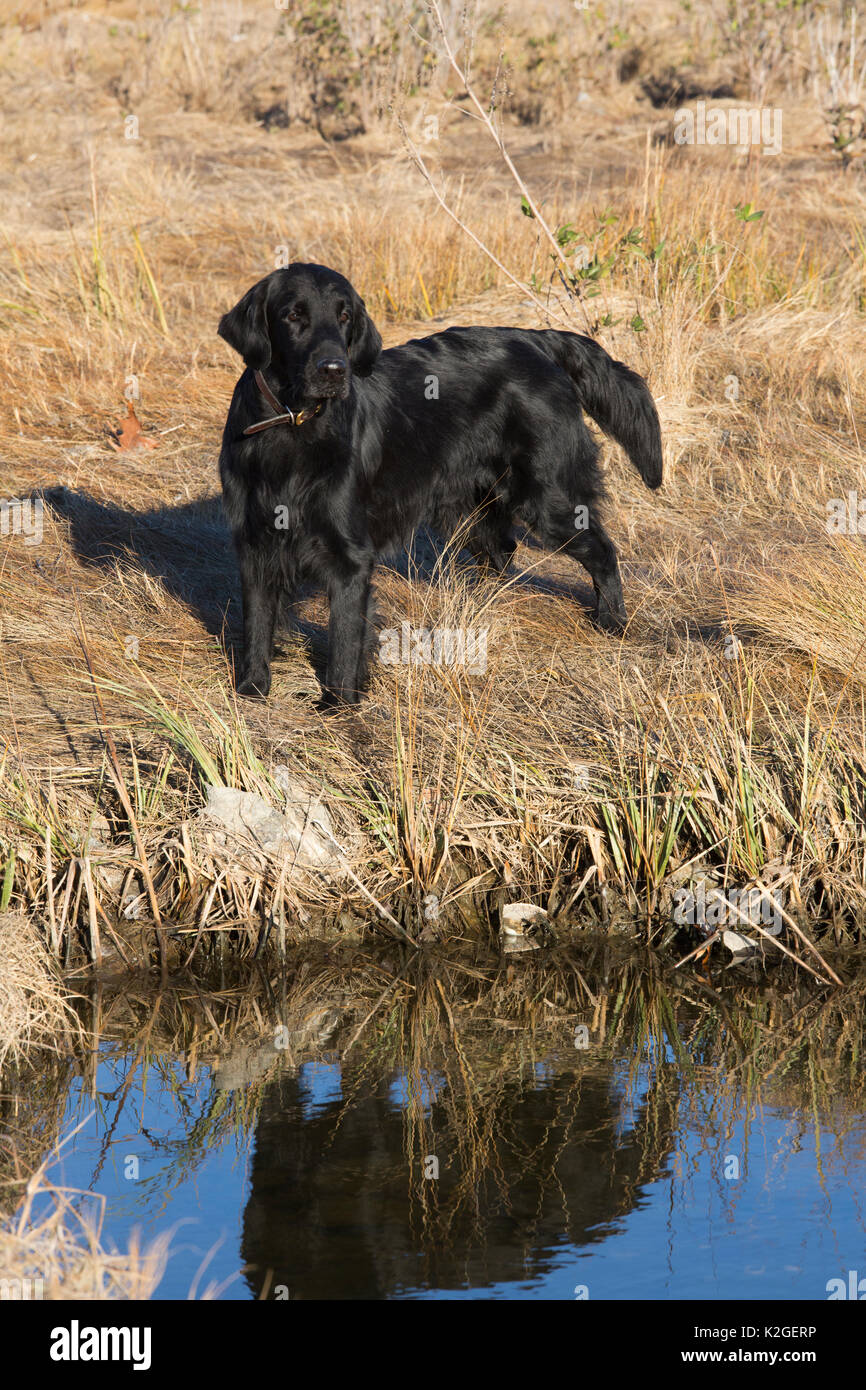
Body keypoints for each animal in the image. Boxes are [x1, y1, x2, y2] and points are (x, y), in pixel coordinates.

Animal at [218, 261, 664, 706]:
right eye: (293, 315)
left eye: (344, 317)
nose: (334, 370)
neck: (292, 426)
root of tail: (535, 339)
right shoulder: (254, 545)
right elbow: (256, 623)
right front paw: (252, 688)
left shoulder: (350, 558)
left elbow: (344, 638)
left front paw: (339, 703)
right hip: (465, 508)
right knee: (502, 551)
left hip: (548, 496)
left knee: (602, 550)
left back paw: (612, 621)